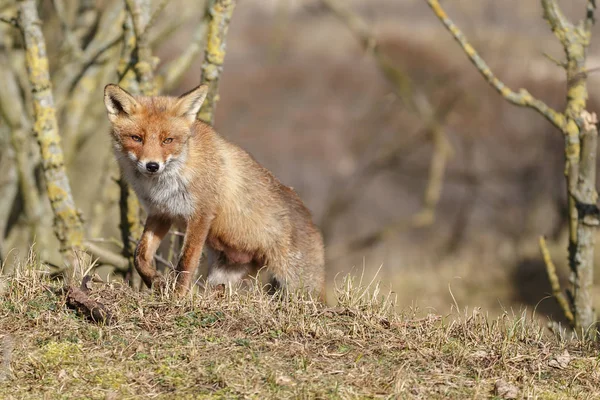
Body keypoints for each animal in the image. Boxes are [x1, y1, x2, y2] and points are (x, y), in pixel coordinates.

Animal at [105, 83, 326, 296]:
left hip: (295, 284)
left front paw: (177, 296)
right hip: (225, 274)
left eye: (167, 140)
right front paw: (155, 281)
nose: (152, 165)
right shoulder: (161, 213)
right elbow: (139, 256)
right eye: (136, 138)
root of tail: (312, 220)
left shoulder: (201, 214)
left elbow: (186, 263)